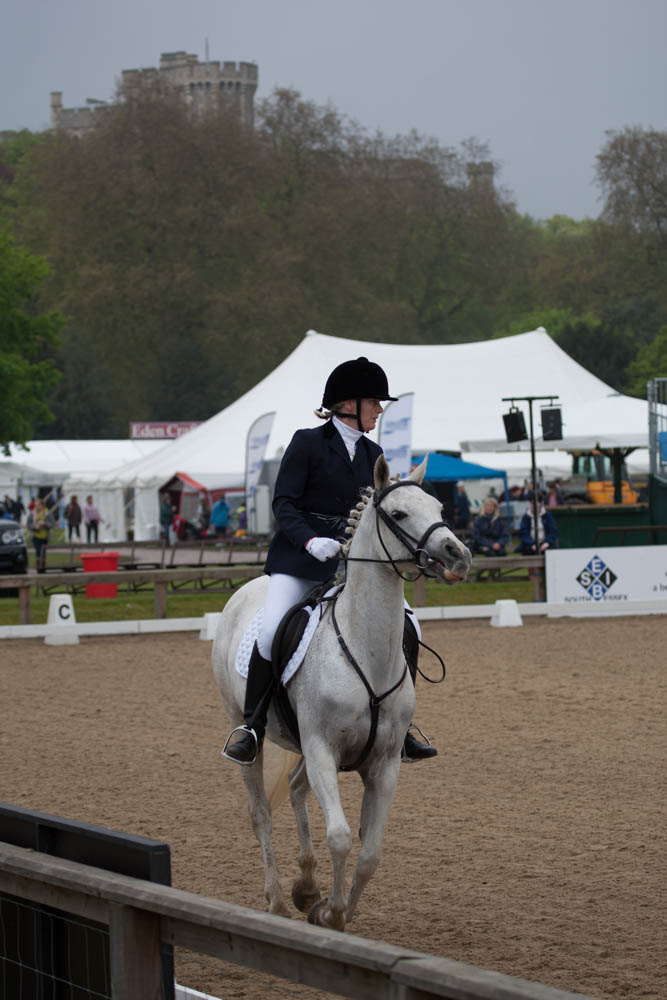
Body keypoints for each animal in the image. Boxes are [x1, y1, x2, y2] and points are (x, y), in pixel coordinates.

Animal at [211, 458, 472, 932]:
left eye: (440, 507)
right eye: (400, 513)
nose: (457, 556)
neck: (364, 648)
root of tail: (243, 592)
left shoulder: (384, 764)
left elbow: (370, 853)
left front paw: (332, 911)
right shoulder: (321, 750)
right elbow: (340, 837)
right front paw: (330, 913)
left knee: (297, 790)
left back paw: (305, 887)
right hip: (245, 728)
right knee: (261, 813)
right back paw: (278, 901)